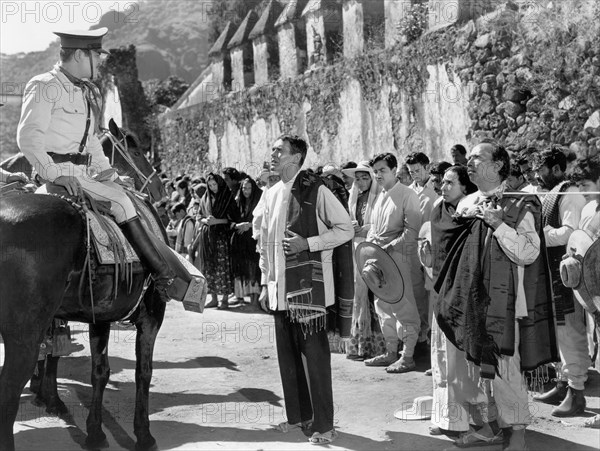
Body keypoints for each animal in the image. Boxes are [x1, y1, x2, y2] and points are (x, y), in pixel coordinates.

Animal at [0, 119, 166, 451]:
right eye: (135, 149)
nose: (159, 187)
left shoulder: (99, 314)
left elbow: (99, 371)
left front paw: (95, 432)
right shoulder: (151, 314)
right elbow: (143, 372)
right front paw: (143, 434)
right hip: (23, 336)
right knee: (8, 391)